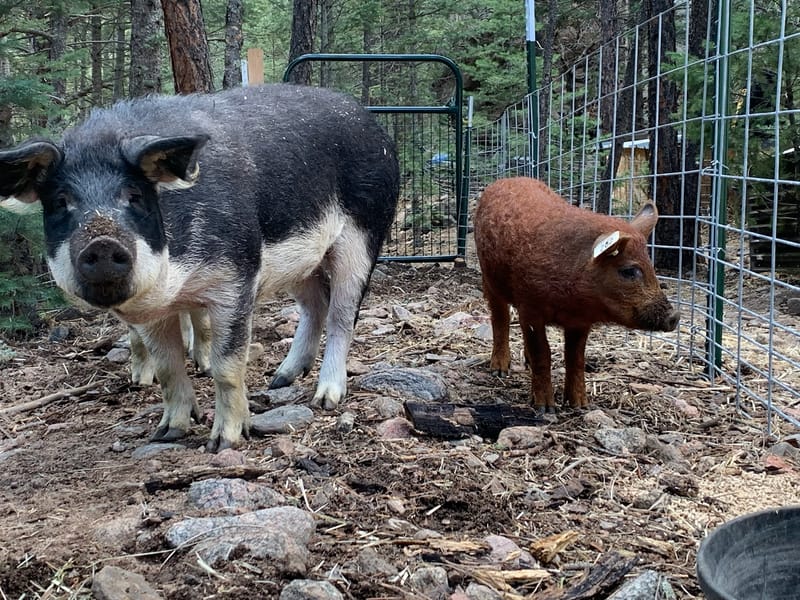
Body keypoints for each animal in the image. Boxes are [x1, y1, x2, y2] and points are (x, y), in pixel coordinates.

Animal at [0, 83, 400, 450]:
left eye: (134, 196)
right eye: (60, 202)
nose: (102, 243)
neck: (175, 283)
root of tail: (372, 122)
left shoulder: (236, 277)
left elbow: (227, 365)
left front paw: (223, 442)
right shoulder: (152, 312)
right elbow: (167, 368)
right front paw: (168, 433)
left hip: (365, 232)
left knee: (342, 314)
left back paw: (325, 398)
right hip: (302, 261)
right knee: (315, 304)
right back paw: (280, 379)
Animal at [476, 177, 680, 412]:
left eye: (651, 266)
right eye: (629, 271)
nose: (675, 316)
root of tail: (505, 179)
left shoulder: (580, 322)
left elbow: (575, 358)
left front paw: (581, 406)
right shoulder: (530, 307)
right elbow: (542, 352)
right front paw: (545, 408)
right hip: (488, 278)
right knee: (499, 318)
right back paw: (499, 370)